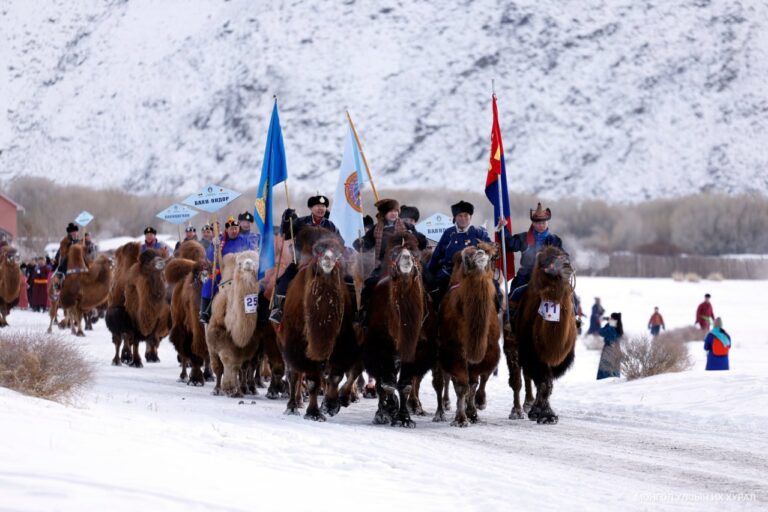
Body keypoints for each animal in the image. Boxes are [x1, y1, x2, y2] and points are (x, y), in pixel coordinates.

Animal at [278, 227, 358, 420]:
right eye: (319, 251)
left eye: (338, 252)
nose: (328, 260)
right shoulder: (300, 345)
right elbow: (313, 379)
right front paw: (313, 412)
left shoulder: (342, 341)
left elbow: (335, 375)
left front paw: (330, 406)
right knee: (294, 374)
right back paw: (292, 406)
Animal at [436, 242, 500, 426]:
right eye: (466, 258)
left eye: (493, 256)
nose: (479, 254)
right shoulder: (452, 350)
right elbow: (461, 385)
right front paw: (461, 419)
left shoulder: (490, 351)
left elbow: (474, 382)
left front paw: (473, 411)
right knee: (442, 380)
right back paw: (441, 410)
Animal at [504, 245, 576, 424]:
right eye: (547, 262)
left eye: (566, 256)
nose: (567, 266)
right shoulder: (532, 352)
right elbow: (543, 382)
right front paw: (546, 415)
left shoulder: (558, 359)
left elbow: (546, 384)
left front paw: (541, 413)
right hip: (512, 344)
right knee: (516, 379)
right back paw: (516, 411)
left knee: (528, 377)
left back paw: (529, 405)